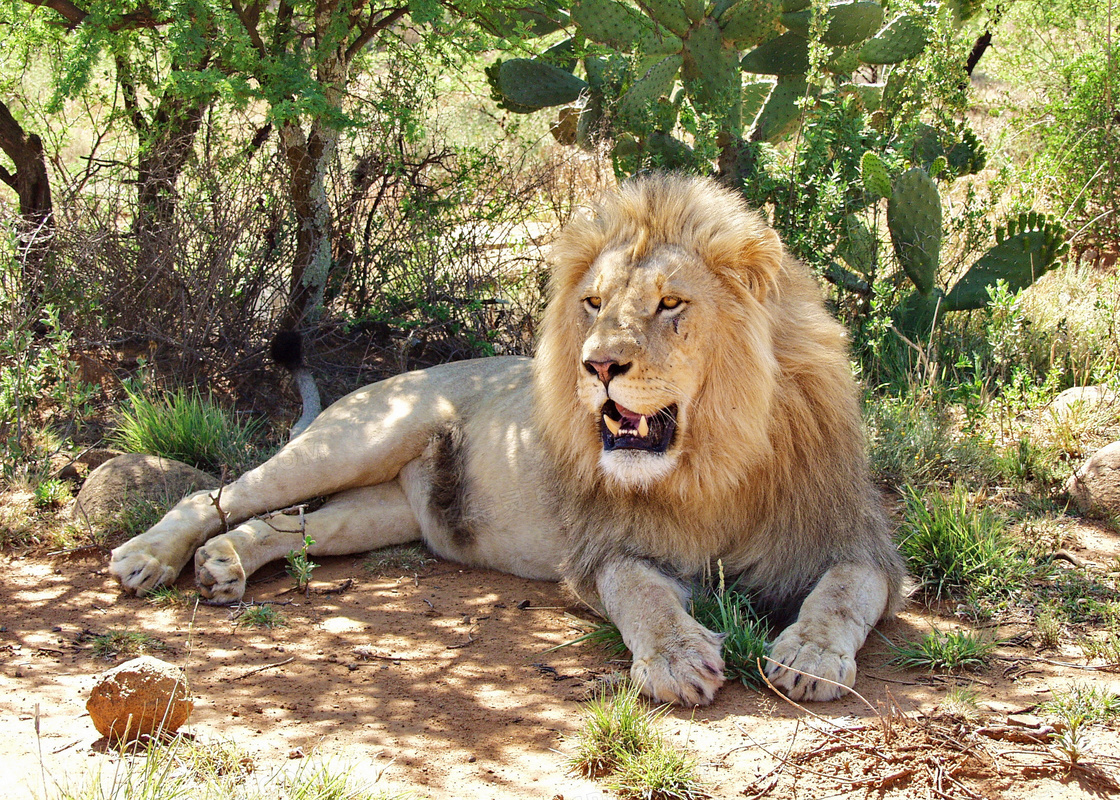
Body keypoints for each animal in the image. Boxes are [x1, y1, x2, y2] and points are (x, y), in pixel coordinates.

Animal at [109, 172, 904, 703]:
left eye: (670, 304)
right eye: (593, 304)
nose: (597, 365)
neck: (713, 463)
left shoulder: (853, 536)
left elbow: (846, 591)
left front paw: (810, 654)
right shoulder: (603, 548)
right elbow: (642, 594)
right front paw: (677, 658)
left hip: (385, 512)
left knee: (287, 526)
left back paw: (223, 564)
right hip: (356, 440)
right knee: (218, 496)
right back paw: (148, 557)